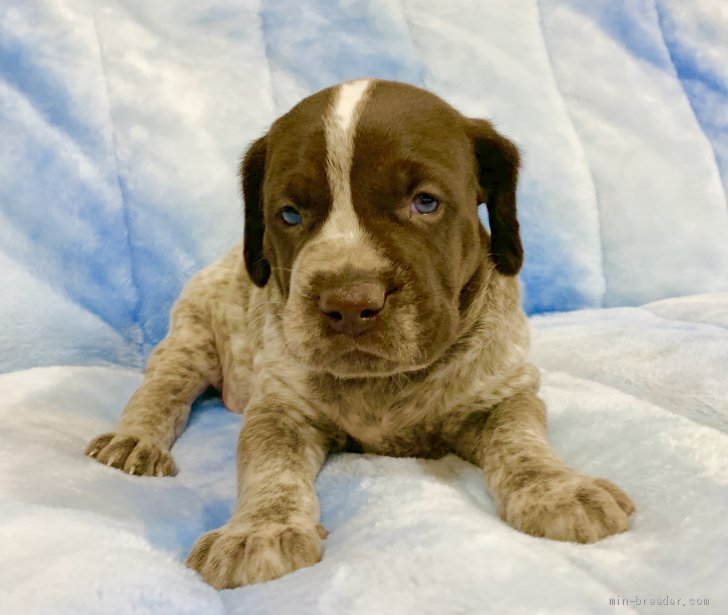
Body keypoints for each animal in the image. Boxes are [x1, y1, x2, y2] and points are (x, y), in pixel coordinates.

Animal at [84, 79, 632, 588]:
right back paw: (134, 440)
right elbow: (270, 465)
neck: (385, 382)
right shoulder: (280, 409)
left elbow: (522, 441)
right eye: (289, 215)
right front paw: (259, 530)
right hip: (192, 337)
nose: (349, 305)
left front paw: (558, 488)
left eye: (425, 203)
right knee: (164, 388)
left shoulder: (503, 392)